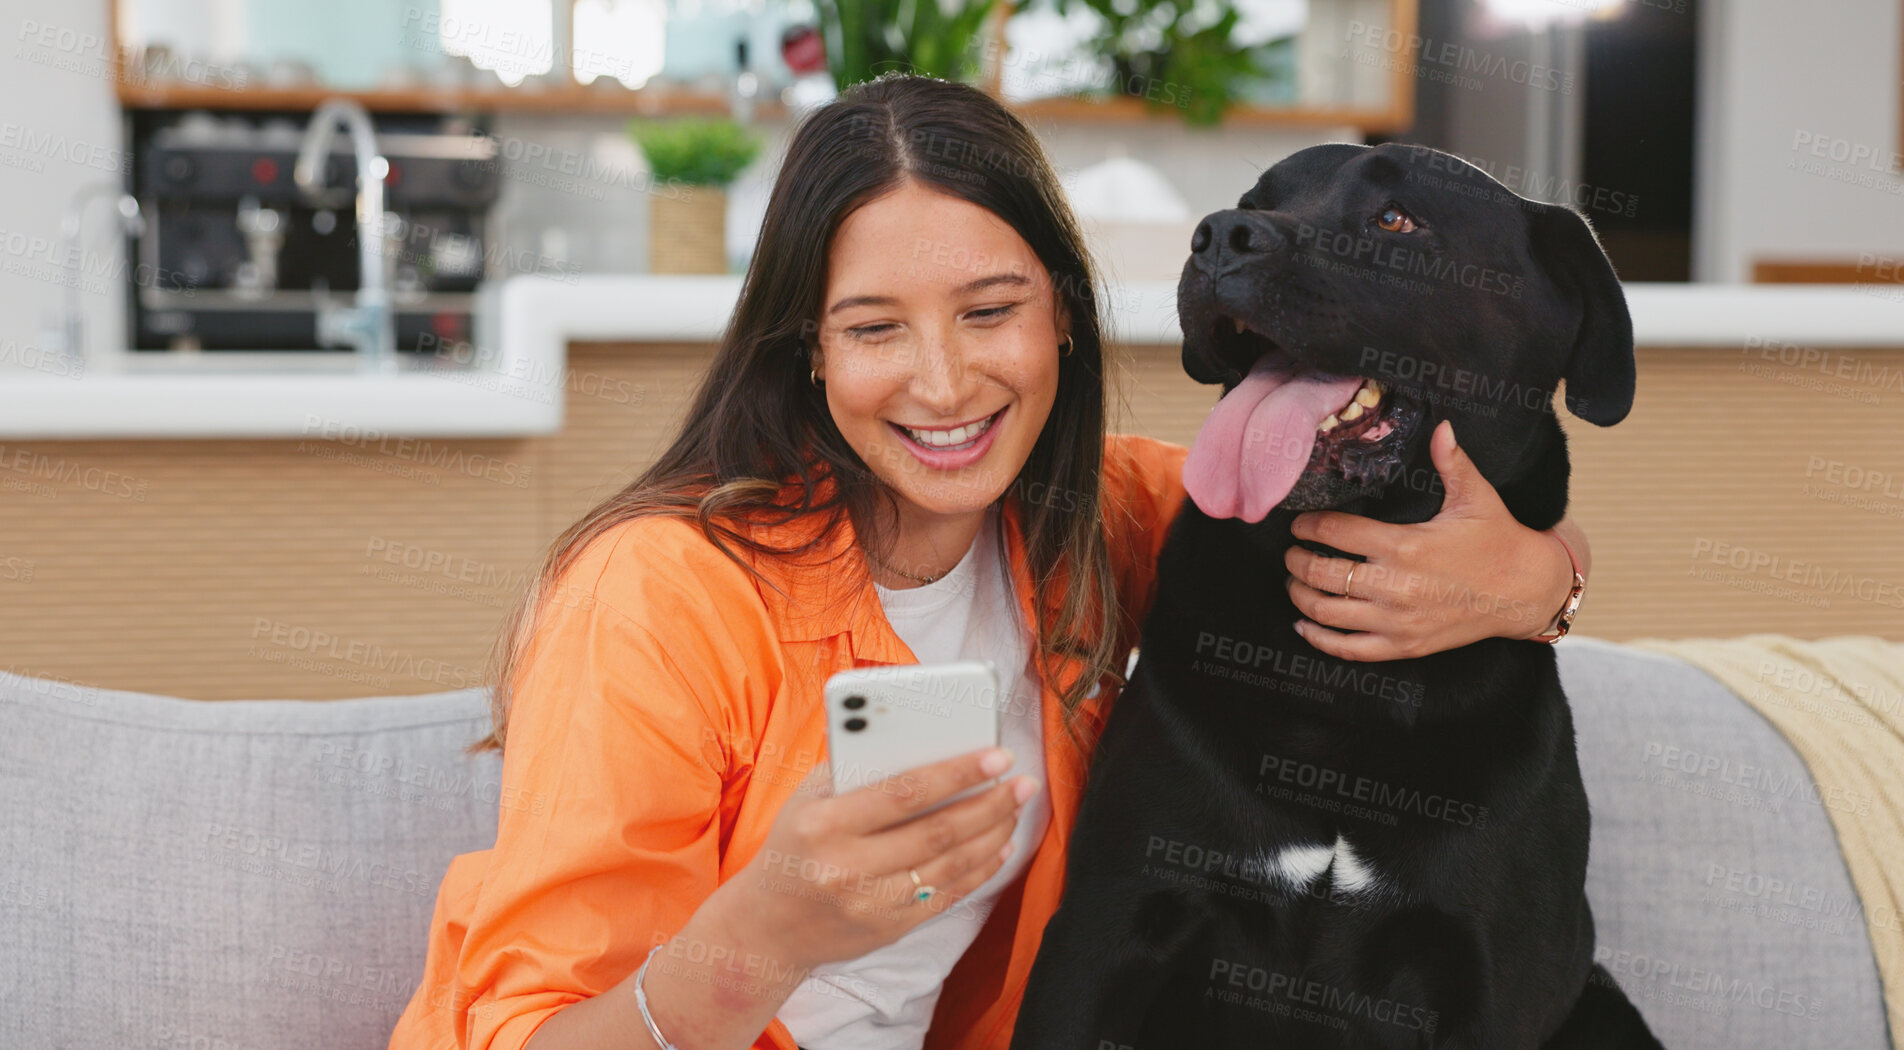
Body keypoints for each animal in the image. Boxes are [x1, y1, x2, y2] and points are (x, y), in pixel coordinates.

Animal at [1012, 145, 1667, 1050]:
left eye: (1397, 219)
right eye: (1256, 200)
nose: (1221, 236)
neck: (1342, 693)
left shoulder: (1496, 979)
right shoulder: (1104, 931)